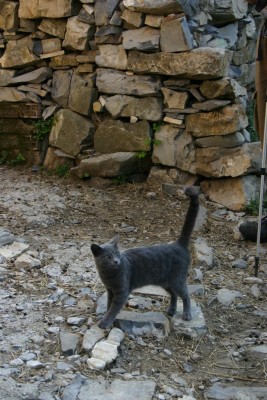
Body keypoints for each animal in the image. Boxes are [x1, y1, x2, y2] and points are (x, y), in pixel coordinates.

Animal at [91, 186, 200, 330]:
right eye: (108, 256)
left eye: (117, 254)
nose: (116, 261)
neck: (108, 275)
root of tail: (178, 244)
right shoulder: (110, 290)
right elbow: (109, 305)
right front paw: (105, 317)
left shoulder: (121, 292)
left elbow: (113, 308)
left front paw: (105, 322)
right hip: (166, 282)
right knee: (174, 294)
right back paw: (171, 311)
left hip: (177, 279)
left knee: (186, 295)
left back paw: (187, 315)